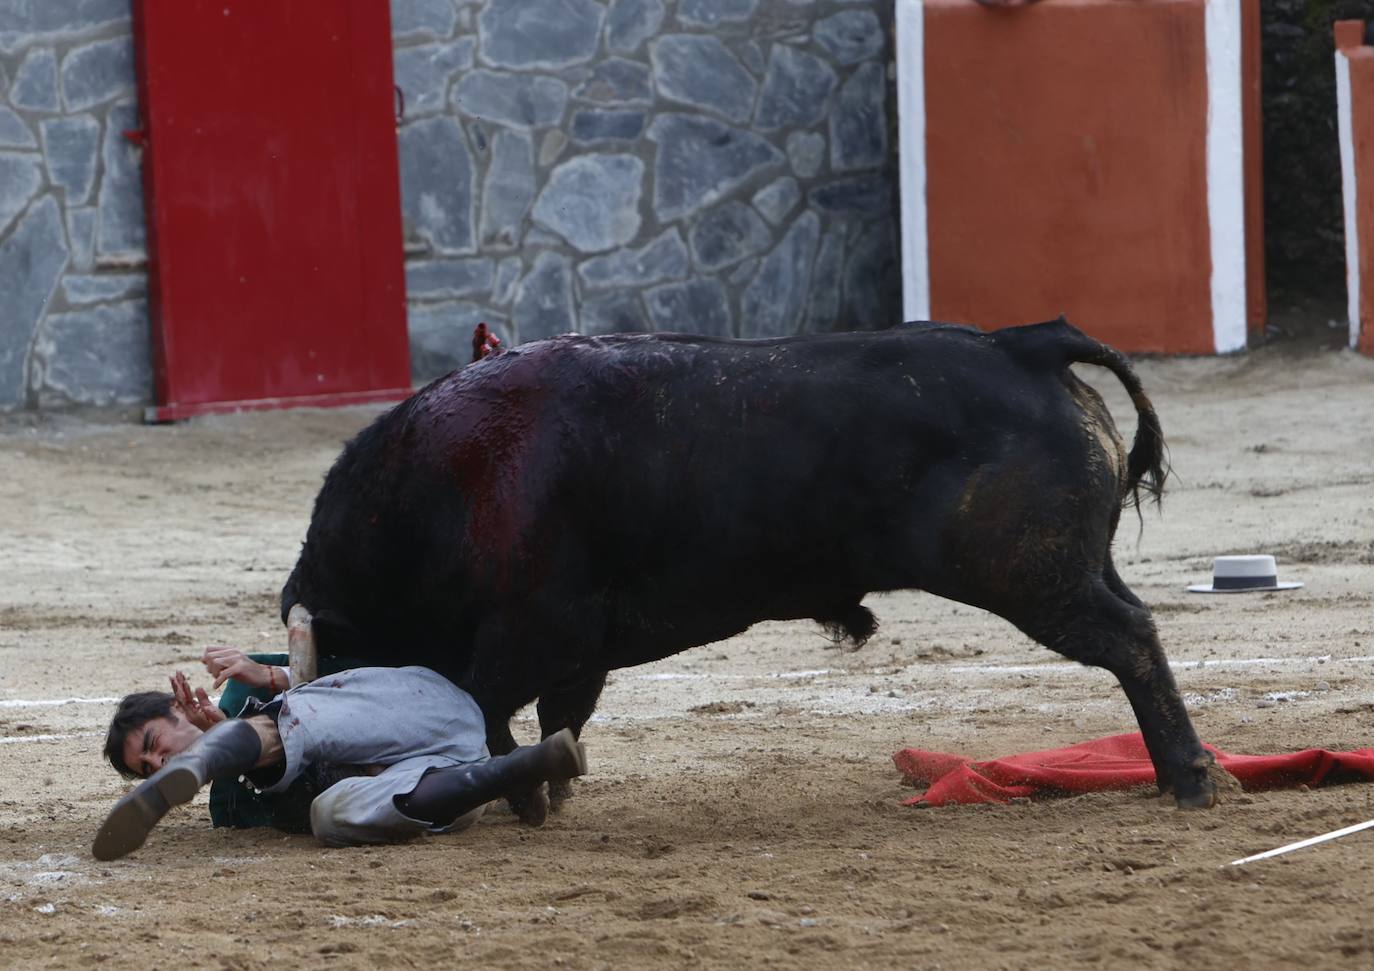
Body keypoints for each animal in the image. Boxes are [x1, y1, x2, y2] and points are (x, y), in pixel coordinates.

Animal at [278, 321, 1214, 813]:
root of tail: (1025, 344)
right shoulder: (574, 652)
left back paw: (1190, 776)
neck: (446, 481)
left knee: (1129, 639)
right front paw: (549, 792)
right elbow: (549, 719)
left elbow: (484, 710)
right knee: (1138, 630)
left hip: (1031, 576)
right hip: (1075, 567)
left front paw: (522, 798)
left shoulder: (534, 630)